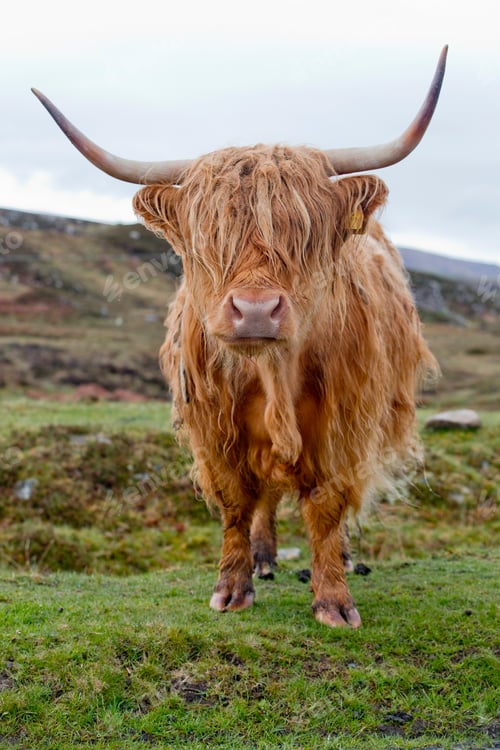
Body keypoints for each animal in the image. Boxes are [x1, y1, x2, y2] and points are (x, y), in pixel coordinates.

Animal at [32, 46, 446, 627]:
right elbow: (235, 504)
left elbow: (327, 505)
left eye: (305, 234)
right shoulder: (214, 428)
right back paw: (264, 557)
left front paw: (334, 600)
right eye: (211, 236)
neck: (272, 377)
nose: (255, 311)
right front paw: (232, 587)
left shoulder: (343, 426)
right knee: (264, 496)